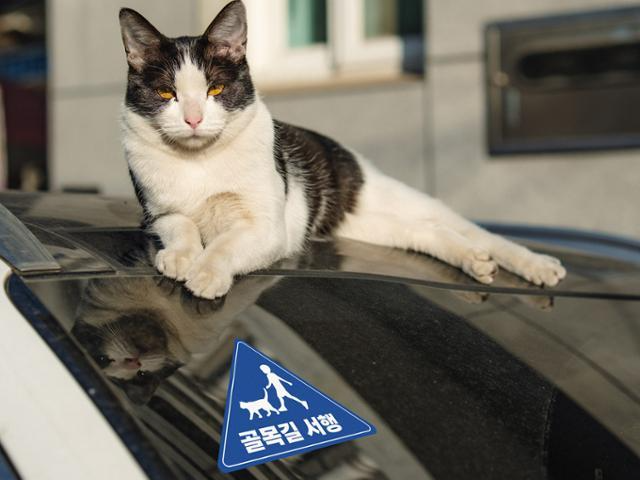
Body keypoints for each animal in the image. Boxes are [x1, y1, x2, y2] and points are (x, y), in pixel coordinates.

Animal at [119, 0, 564, 300]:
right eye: (166, 93)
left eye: (215, 89)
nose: (193, 118)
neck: (201, 160)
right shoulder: (157, 215)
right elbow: (182, 225)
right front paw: (180, 257)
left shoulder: (267, 228)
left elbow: (227, 243)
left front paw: (207, 273)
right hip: (366, 225)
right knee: (427, 232)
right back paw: (473, 260)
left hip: (395, 196)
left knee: (475, 231)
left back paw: (536, 265)